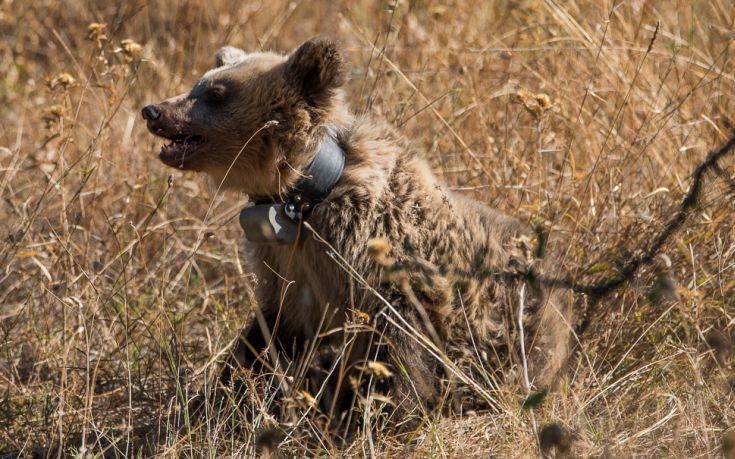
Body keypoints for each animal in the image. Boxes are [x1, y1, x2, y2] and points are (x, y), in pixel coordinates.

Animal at [142, 37, 576, 430]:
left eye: (216, 93)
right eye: (199, 83)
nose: (153, 110)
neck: (304, 199)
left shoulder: (387, 274)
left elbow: (399, 357)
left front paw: (387, 416)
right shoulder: (290, 272)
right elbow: (267, 338)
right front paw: (218, 398)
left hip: (517, 326)